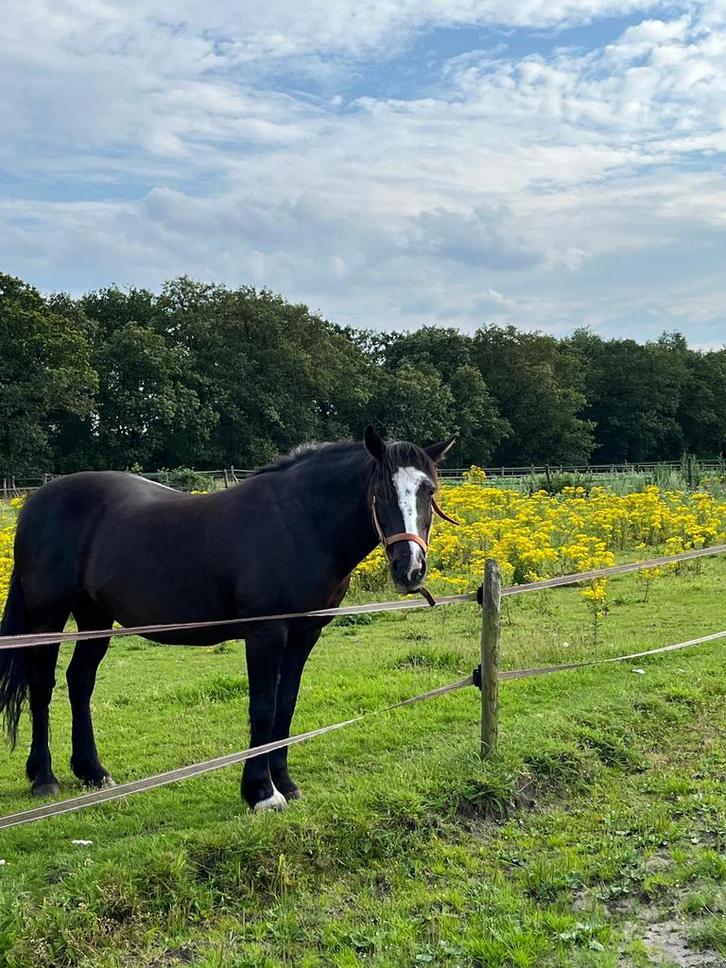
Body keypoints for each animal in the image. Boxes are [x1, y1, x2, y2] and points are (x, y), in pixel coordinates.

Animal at [0, 427, 455, 810]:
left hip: (95, 616)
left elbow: (286, 705)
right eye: (381, 491)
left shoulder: (304, 633)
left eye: (428, 490)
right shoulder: (266, 633)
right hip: (47, 617)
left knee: (80, 681)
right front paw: (261, 793)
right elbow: (263, 707)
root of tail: (35, 502)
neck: (299, 524)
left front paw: (284, 783)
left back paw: (93, 772)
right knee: (42, 686)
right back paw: (44, 777)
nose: (410, 569)